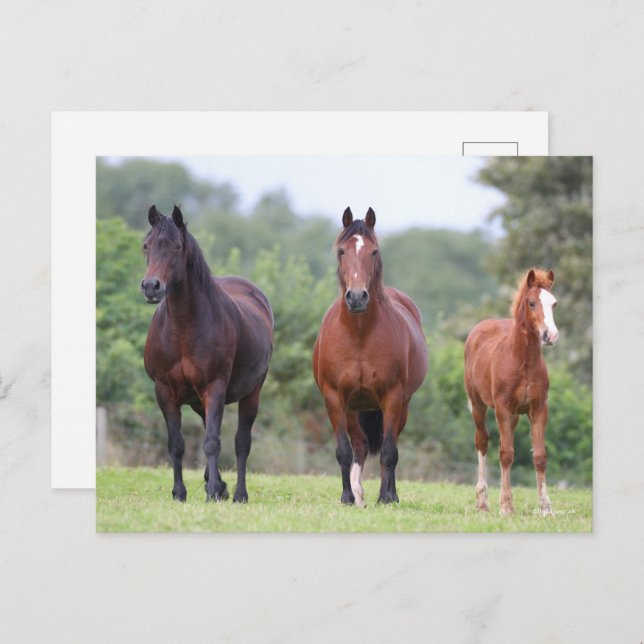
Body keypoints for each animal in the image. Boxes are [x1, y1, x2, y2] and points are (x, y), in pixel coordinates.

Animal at [140, 205, 273, 503]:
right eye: (146, 245)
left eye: (177, 246)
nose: (151, 286)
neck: (183, 329)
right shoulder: (164, 391)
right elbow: (176, 444)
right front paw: (180, 492)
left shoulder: (215, 388)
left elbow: (213, 442)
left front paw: (212, 491)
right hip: (199, 401)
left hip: (251, 393)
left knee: (241, 442)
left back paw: (238, 493)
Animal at [313, 207, 429, 506]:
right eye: (342, 251)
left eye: (374, 251)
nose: (356, 297)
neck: (360, 334)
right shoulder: (334, 398)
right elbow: (344, 451)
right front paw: (347, 497)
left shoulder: (393, 397)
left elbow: (389, 451)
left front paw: (387, 497)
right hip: (354, 407)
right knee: (360, 445)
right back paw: (357, 493)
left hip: (401, 405)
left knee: (390, 444)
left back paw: (386, 493)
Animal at [464, 268, 559, 516]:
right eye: (532, 302)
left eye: (554, 303)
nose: (551, 335)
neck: (522, 361)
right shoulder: (503, 409)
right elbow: (506, 455)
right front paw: (506, 505)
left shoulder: (539, 409)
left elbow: (539, 456)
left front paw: (545, 507)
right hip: (478, 405)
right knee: (483, 442)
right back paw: (482, 501)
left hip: (514, 416)